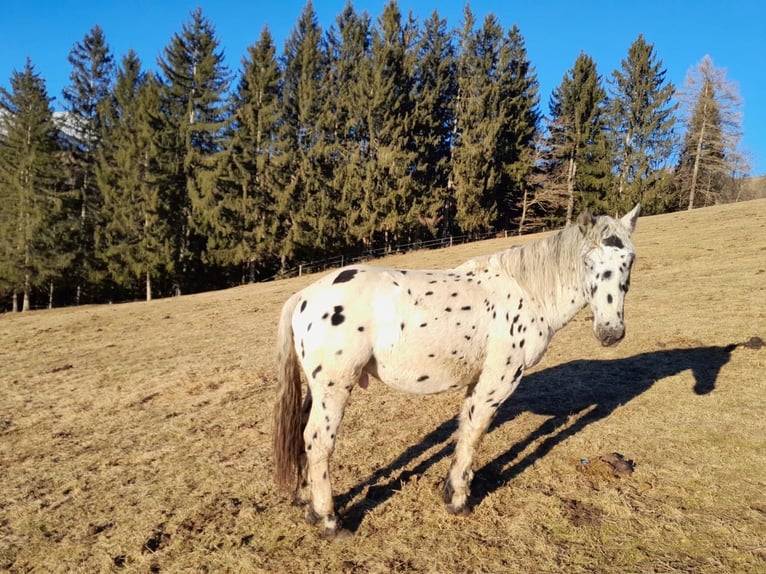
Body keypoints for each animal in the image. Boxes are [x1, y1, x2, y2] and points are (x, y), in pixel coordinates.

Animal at [272, 206, 640, 540]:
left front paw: (451, 490)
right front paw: (459, 500)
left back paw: (309, 506)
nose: (611, 332)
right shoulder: (498, 380)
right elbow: (475, 433)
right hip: (334, 388)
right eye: (588, 261)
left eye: (630, 260)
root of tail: (304, 295)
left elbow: (465, 428)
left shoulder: (478, 382)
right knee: (318, 442)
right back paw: (330, 521)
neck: (527, 292)